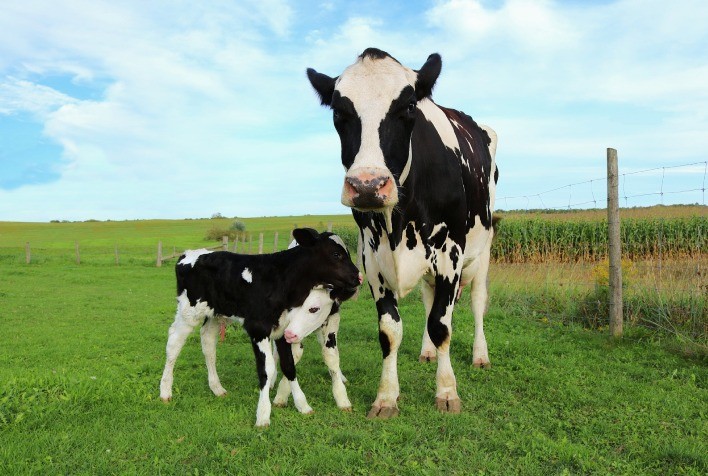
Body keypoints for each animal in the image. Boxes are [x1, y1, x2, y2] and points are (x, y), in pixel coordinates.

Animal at [159, 228, 361, 427]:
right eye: (336, 254)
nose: (358, 277)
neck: (281, 280)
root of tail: (189, 254)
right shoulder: (258, 329)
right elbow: (267, 369)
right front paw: (263, 415)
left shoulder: (283, 330)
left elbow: (289, 366)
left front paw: (302, 405)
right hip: (188, 312)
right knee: (174, 343)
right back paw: (165, 391)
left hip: (214, 314)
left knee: (208, 344)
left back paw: (217, 388)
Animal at [307, 48, 498, 418]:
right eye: (339, 111)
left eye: (409, 107)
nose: (367, 185)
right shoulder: (372, 258)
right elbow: (390, 331)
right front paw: (386, 397)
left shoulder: (450, 253)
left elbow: (442, 325)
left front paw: (447, 392)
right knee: (428, 301)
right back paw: (426, 352)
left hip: (482, 248)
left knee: (477, 301)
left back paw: (480, 355)